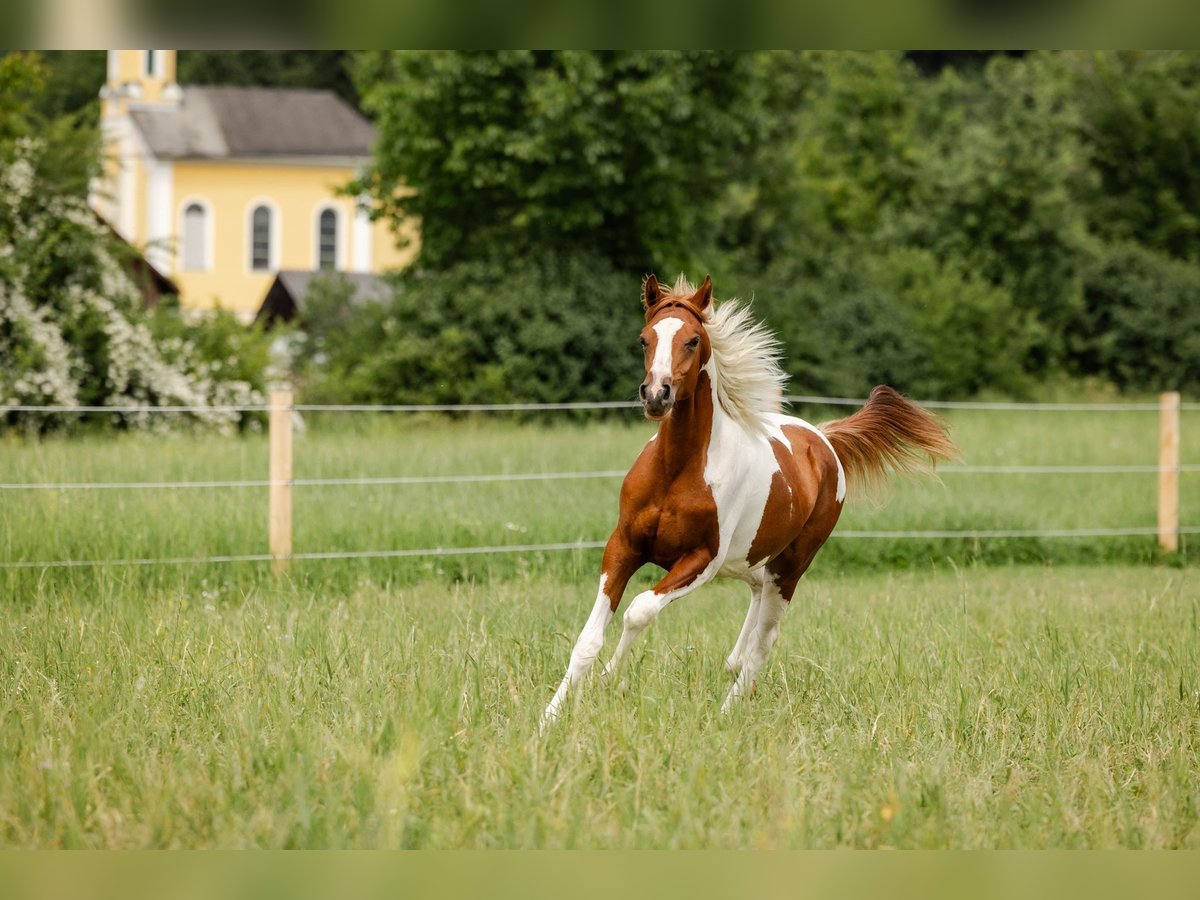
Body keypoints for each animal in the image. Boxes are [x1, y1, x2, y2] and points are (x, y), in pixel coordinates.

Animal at [542, 274, 955, 734]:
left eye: (692, 340)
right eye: (644, 338)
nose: (656, 395)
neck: (677, 470)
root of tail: (824, 438)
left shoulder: (700, 561)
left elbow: (639, 610)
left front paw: (611, 680)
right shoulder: (624, 547)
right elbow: (588, 639)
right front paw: (549, 719)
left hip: (790, 566)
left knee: (766, 639)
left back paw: (727, 711)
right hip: (751, 558)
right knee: (754, 609)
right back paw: (732, 664)